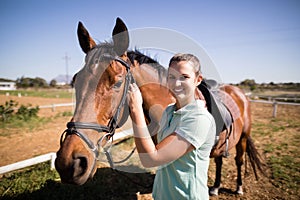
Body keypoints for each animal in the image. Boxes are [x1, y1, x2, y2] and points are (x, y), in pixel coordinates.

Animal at [55, 18, 264, 195]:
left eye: (117, 82)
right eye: (75, 81)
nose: (69, 163)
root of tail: (239, 93)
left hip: (243, 138)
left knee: (238, 161)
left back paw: (238, 188)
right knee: (220, 160)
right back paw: (215, 187)